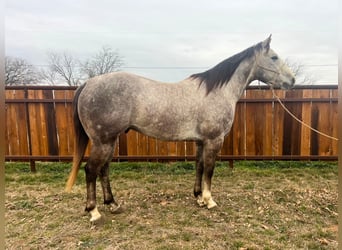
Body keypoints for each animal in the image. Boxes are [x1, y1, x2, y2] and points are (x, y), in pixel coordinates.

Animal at [66, 35, 294, 221]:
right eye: (274, 57)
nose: (292, 80)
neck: (217, 91)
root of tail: (88, 84)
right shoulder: (214, 140)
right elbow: (209, 169)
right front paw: (209, 200)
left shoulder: (201, 141)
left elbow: (199, 166)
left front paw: (199, 197)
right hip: (103, 141)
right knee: (91, 170)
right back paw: (94, 212)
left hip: (109, 141)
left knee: (103, 170)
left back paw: (113, 204)